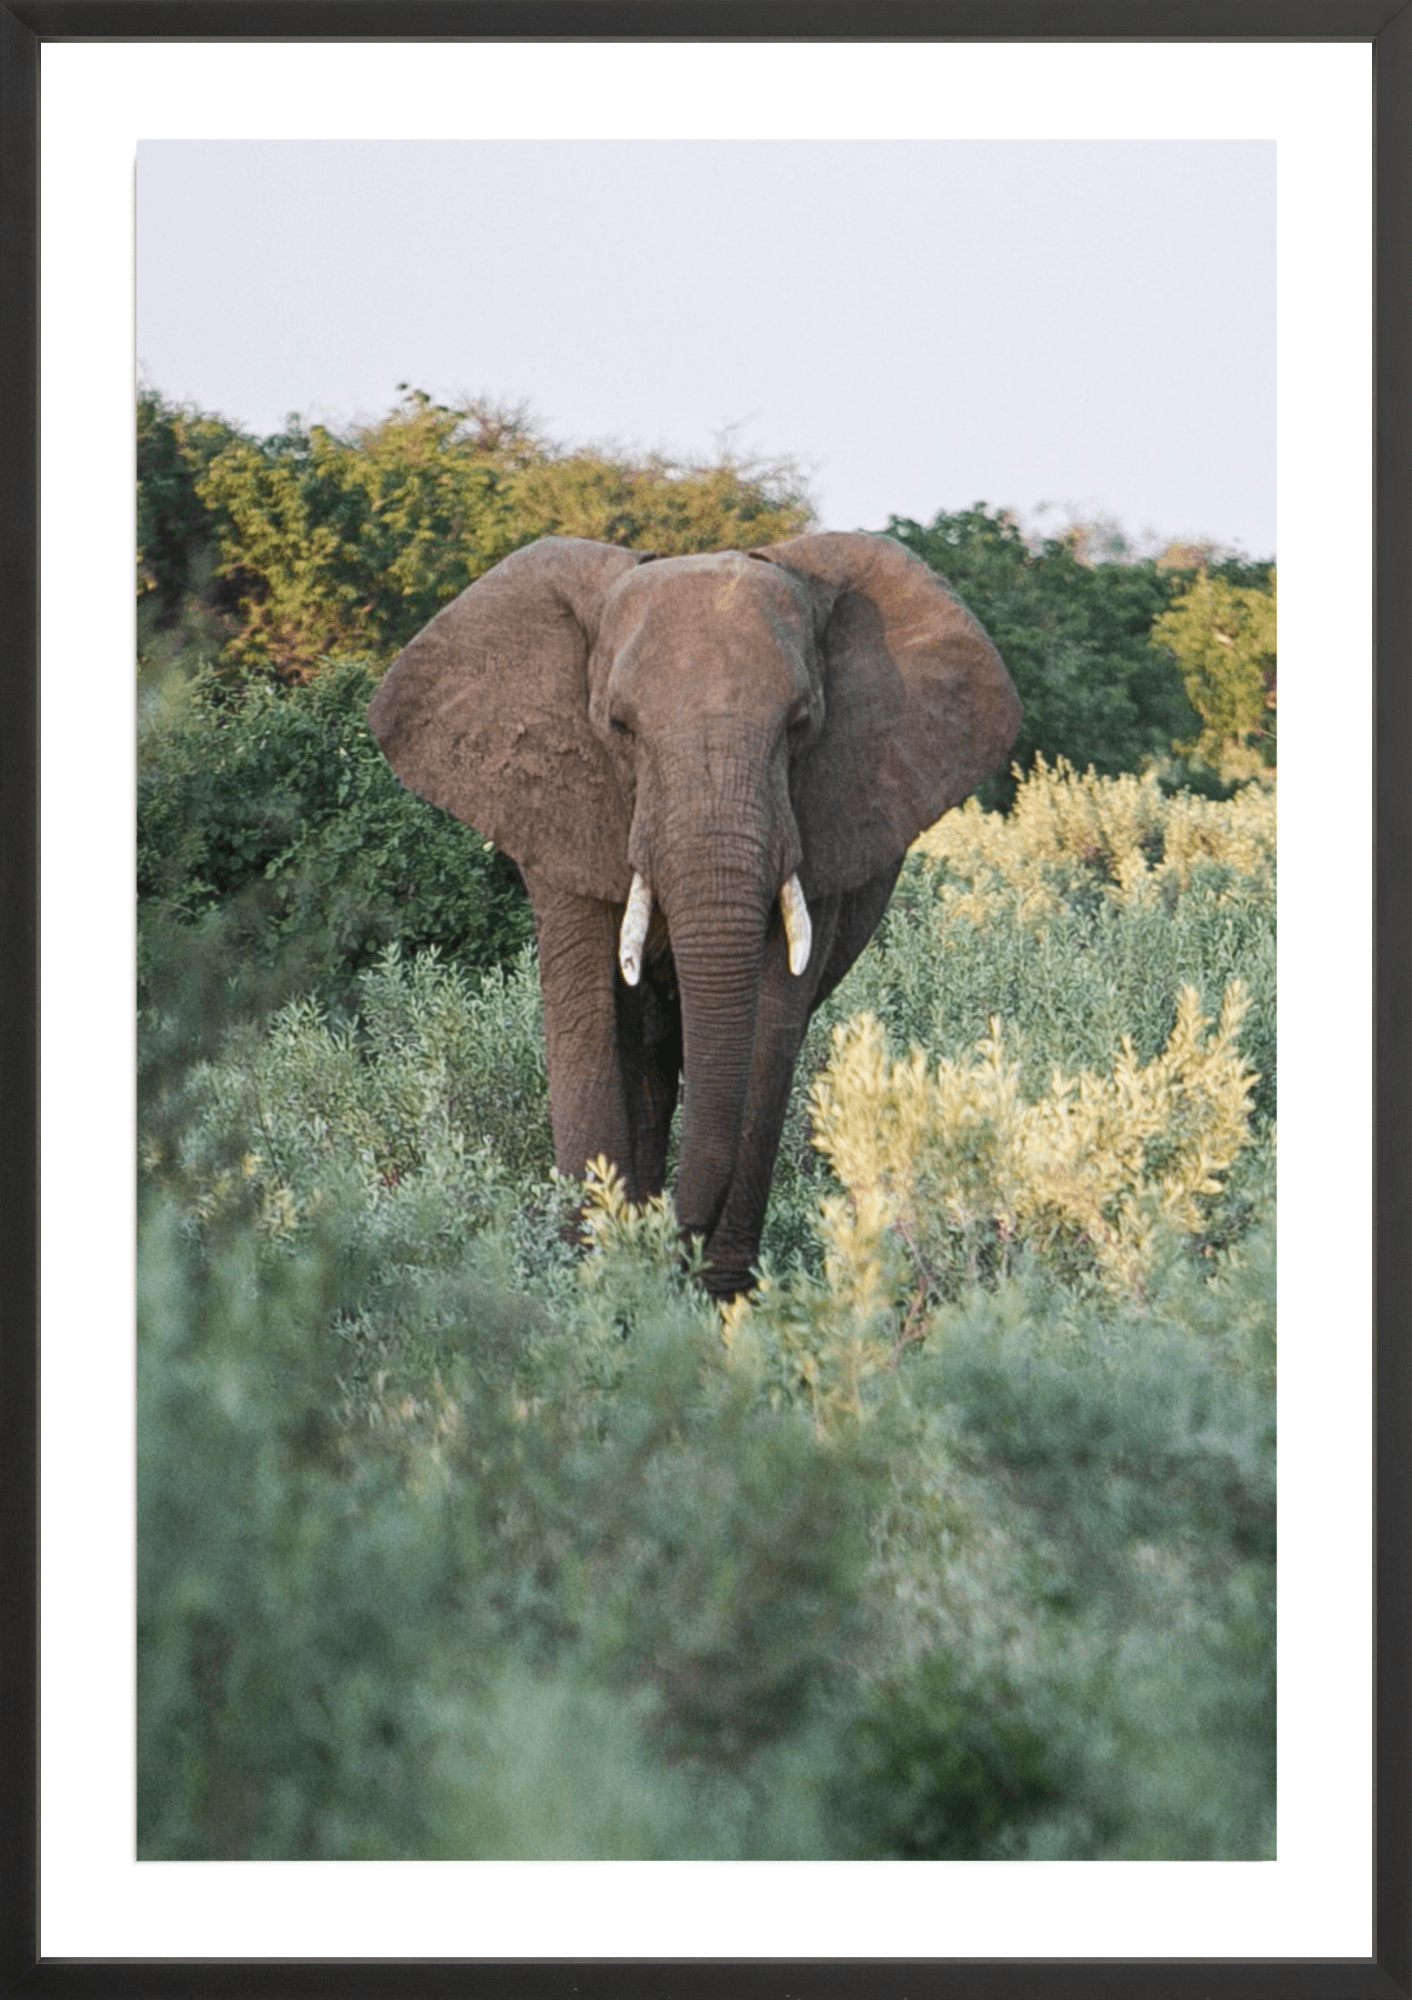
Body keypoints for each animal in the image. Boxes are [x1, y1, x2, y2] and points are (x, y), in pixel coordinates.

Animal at [368, 531, 1021, 1301]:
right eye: (618, 727)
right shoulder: (560, 809)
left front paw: (717, 1298)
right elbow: (589, 1022)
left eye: (801, 725)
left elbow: (769, 1031)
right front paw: (593, 1282)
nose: (671, 1242)